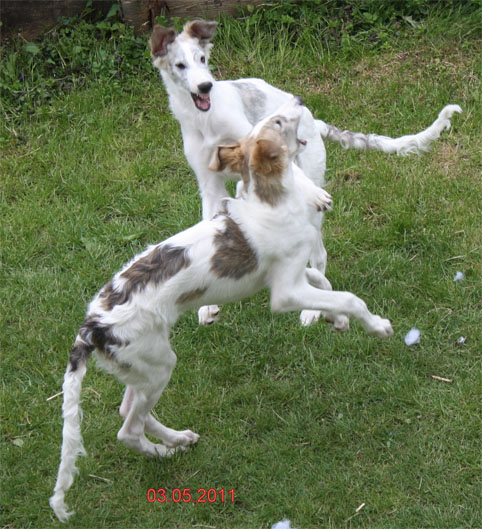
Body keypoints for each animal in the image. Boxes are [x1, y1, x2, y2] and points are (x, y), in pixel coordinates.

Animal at [50, 97, 393, 522]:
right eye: (276, 121)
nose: (298, 100)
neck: (271, 201)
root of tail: (91, 327)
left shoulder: (292, 274)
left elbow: (325, 284)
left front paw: (335, 320)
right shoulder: (284, 292)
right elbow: (347, 295)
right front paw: (375, 326)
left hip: (141, 364)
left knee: (128, 409)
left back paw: (178, 439)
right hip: (158, 363)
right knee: (127, 429)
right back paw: (163, 453)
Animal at [149, 19, 461, 326]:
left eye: (202, 59)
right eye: (180, 65)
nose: (205, 87)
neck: (205, 119)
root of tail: (315, 120)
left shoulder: (255, 138)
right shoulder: (210, 185)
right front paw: (207, 305)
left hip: (308, 202)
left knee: (319, 254)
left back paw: (314, 308)